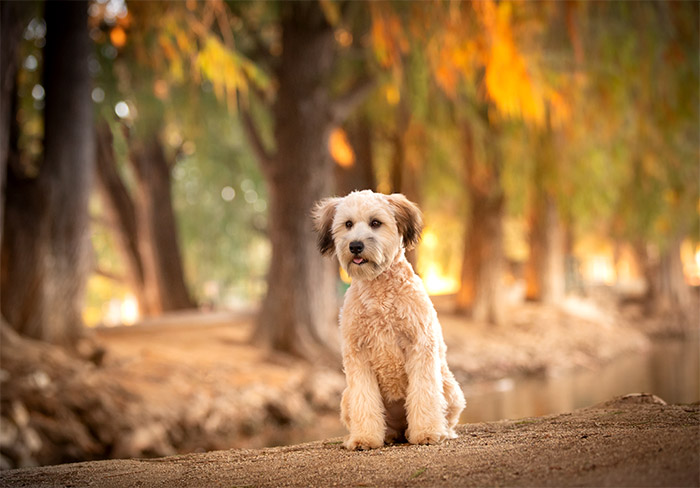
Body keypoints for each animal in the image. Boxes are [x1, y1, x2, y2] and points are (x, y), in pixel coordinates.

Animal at [312, 190, 464, 450]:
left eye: (375, 223)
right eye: (348, 224)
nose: (355, 246)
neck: (378, 291)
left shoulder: (419, 346)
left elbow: (424, 395)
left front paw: (427, 433)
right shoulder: (358, 356)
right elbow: (365, 401)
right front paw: (364, 439)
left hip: (451, 389)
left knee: (444, 413)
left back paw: (440, 431)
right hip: (346, 397)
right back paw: (382, 435)